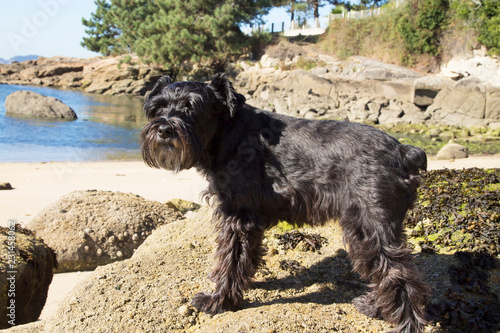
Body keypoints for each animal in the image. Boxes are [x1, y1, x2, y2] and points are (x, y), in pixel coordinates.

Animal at [141, 74, 430, 330]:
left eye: (191, 107)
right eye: (158, 108)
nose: (164, 129)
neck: (228, 132)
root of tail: (404, 151)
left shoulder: (237, 215)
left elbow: (230, 259)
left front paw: (220, 301)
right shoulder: (250, 218)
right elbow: (247, 256)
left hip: (369, 224)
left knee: (398, 273)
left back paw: (404, 322)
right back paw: (375, 306)